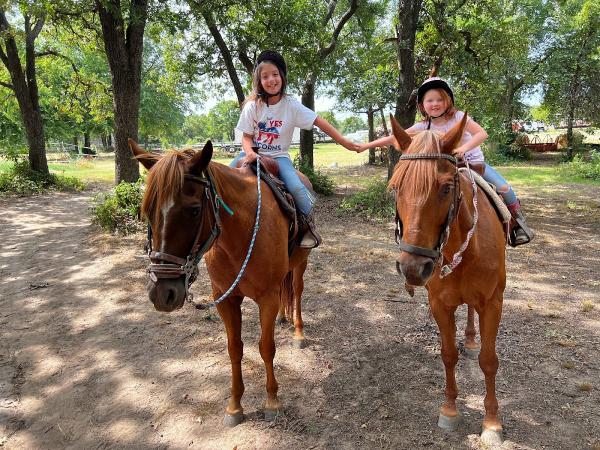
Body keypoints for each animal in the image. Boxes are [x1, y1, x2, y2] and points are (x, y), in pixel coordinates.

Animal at [129, 140, 312, 426]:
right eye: (146, 211)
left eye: (194, 210)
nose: (162, 293)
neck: (241, 234)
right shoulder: (225, 299)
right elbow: (234, 349)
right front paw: (235, 406)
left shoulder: (267, 299)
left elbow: (266, 347)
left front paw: (272, 401)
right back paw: (284, 318)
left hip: (301, 263)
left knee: (297, 291)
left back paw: (298, 332)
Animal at [390, 114, 506, 444]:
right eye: (396, 187)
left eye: (444, 188)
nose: (413, 268)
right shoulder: (439, 304)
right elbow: (448, 354)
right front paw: (450, 410)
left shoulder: (493, 302)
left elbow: (489, 360)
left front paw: (492, 423)